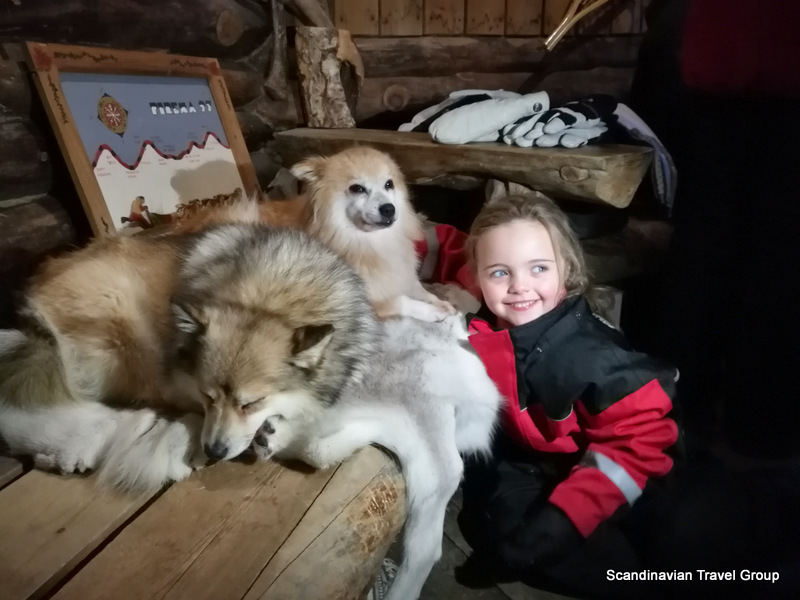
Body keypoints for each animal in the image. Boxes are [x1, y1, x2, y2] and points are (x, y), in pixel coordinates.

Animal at [0, 224, 379, 492]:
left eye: (250, 403)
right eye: (207, 396)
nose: (214, 452)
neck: (269, 300)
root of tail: (29, 305)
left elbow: (317, 441)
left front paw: (278, 433)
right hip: (126, 329)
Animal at [173, 146, 457, 322]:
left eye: (389, 185)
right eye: (357, 188)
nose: (389, 208)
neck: (366, 242)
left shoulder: (400, 273)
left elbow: (417, 288)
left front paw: (441, 302)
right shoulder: (366, 301)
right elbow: (403, 301)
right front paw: (431, 312)